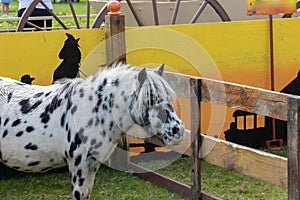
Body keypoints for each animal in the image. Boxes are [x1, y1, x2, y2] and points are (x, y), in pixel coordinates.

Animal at [0, 63, 185, 199]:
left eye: (167, 98)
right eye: (150, 99)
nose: (178, 130)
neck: (92, 111)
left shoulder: (92, 165)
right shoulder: (78, 165)